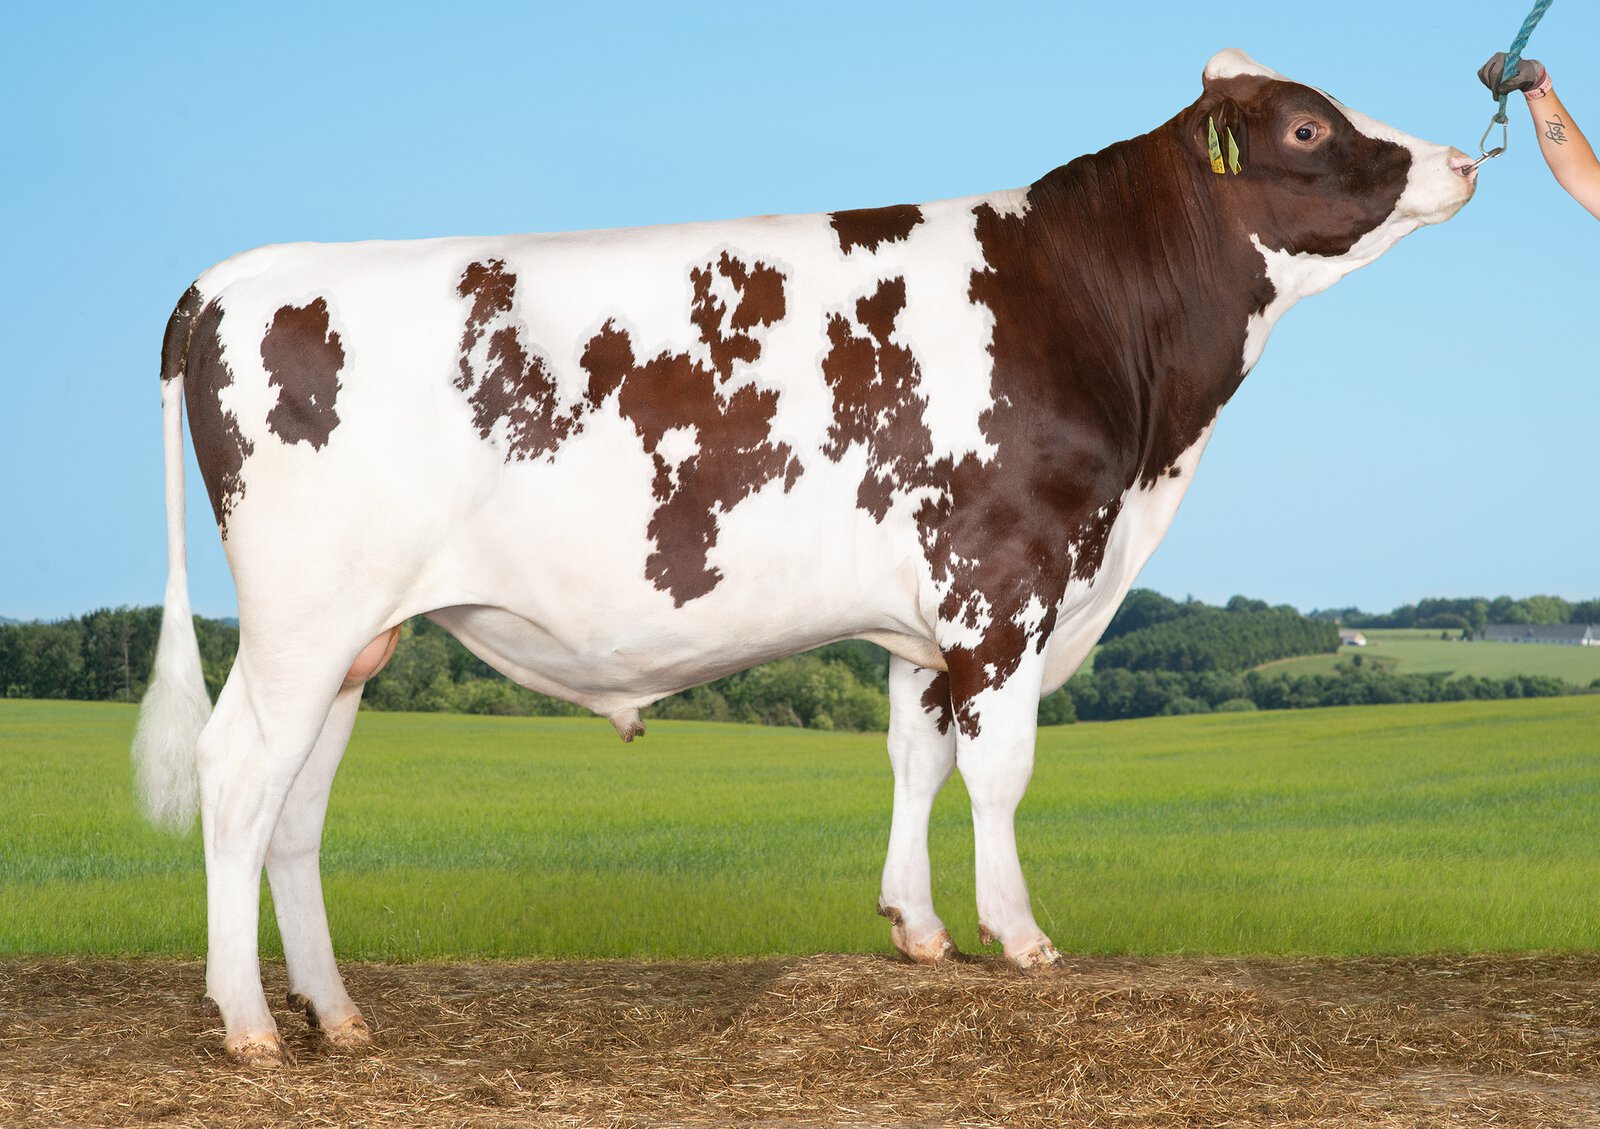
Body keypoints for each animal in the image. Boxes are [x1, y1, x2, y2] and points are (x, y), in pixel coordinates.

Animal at [133, 49, 1476, 1066]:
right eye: (1307, 123)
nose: (1463, 160)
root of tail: (240, 274)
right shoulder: (1004, 581)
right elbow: (998, 774)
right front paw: (1019, 936)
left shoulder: (927, 618)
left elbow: (917, 764)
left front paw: (918, 928)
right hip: (304, 617)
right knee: (239, 774)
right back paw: (250, 1024)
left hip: (358, 637)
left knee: (298, 805)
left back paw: (337, 1013)